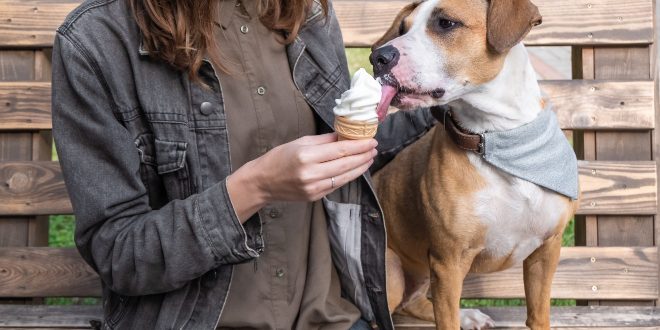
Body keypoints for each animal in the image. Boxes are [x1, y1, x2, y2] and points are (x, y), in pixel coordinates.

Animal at [368, 1, 580, 328]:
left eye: (446, 23)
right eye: (403, 28)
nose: (378, 57)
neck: (498, 138)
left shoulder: (547, 249)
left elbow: (538, 314)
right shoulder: (448, 263)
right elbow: (447, 319)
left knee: (411, 302)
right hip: (390, 271)